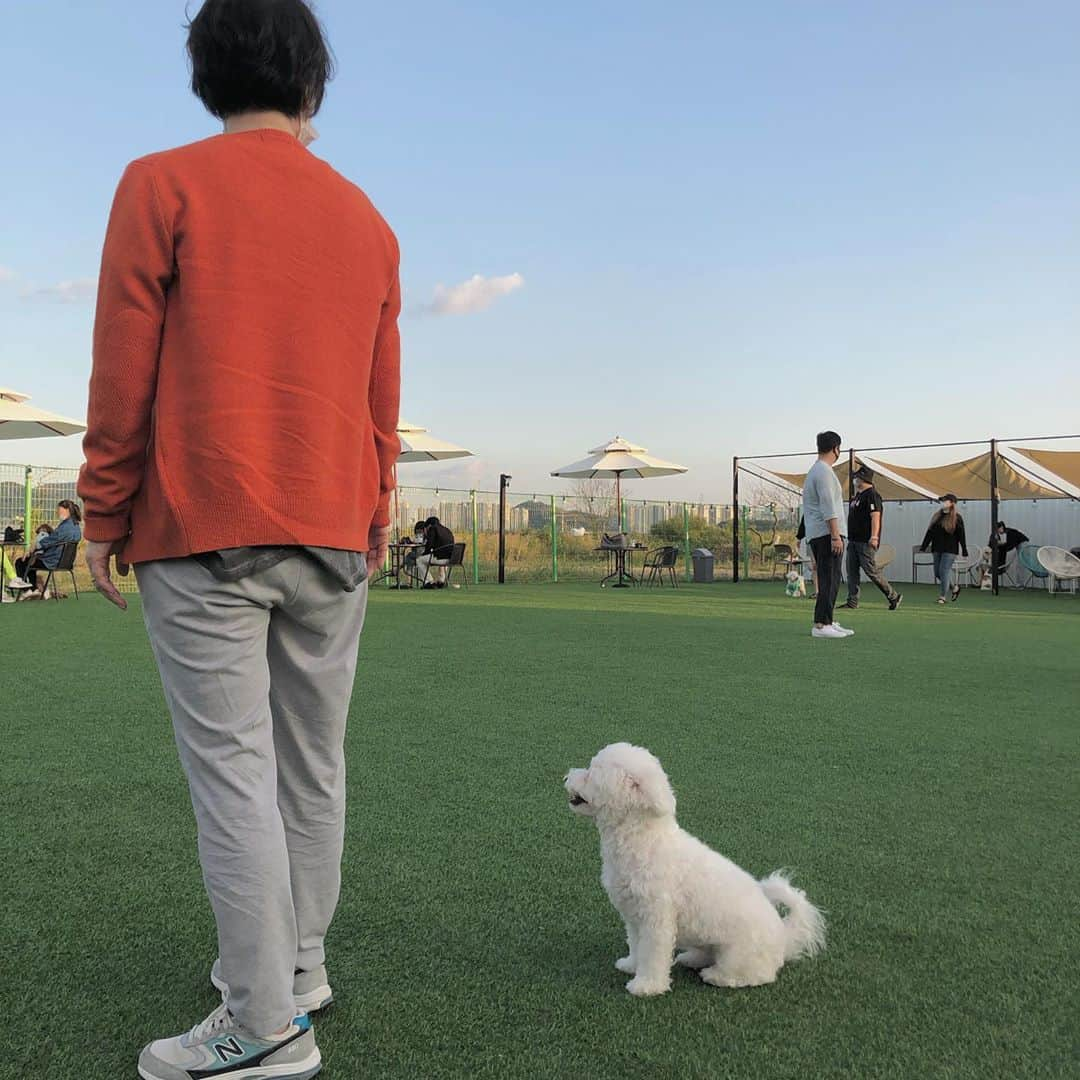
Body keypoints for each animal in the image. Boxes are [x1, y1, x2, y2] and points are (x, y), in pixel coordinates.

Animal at [565, 743, 825, 993]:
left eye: (591, 772)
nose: (566, 776)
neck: (643, 841)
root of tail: (785, 937)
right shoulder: (634, 915)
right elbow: (636, 945)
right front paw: (631, 965)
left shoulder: (656, 919)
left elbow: (651, 955)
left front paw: (646, 986)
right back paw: (690, 958)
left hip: (738, 956)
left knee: (754, 976)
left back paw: (716, 976)